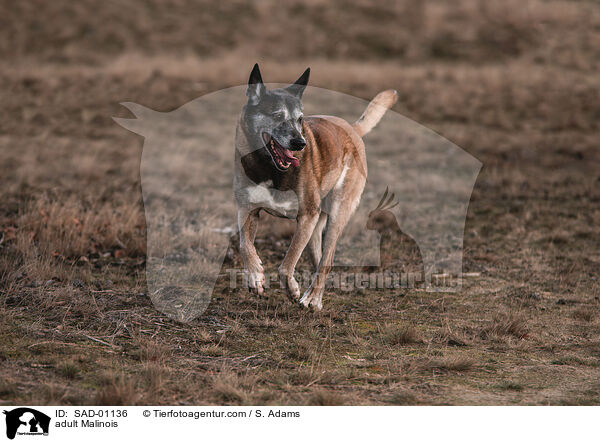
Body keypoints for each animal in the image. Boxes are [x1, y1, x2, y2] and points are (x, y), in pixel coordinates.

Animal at [234, 64, 398, 310]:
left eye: (300, 119)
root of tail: (352, 129)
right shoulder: (247, 209)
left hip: (338, 212)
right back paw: (316, 293)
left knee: (327, 260)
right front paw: (255, 277)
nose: (300, 143)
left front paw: (292, 289)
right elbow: (245, 245)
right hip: (316, 226)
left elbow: (287, 264)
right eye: (277, 116)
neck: (270, 168)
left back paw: (312, 298)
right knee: (318, 259)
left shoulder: (306, 216)